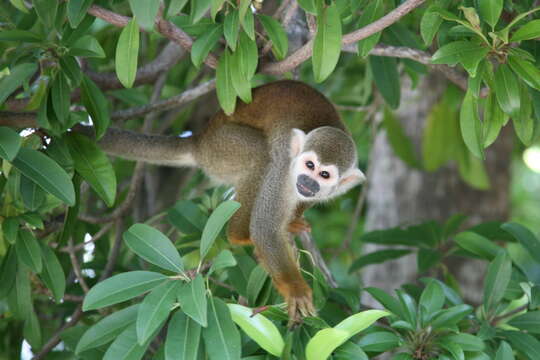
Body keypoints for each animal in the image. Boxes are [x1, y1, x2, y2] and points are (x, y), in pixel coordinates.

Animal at [97, 81, 368, 324]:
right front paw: (295, 289)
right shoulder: (283, 171)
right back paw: (239, 235)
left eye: (325, 175)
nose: (307, 182)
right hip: (222, 149)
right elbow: (265, 229)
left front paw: (291, 222)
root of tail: (200, 141)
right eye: (309, 165)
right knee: (261, 157)